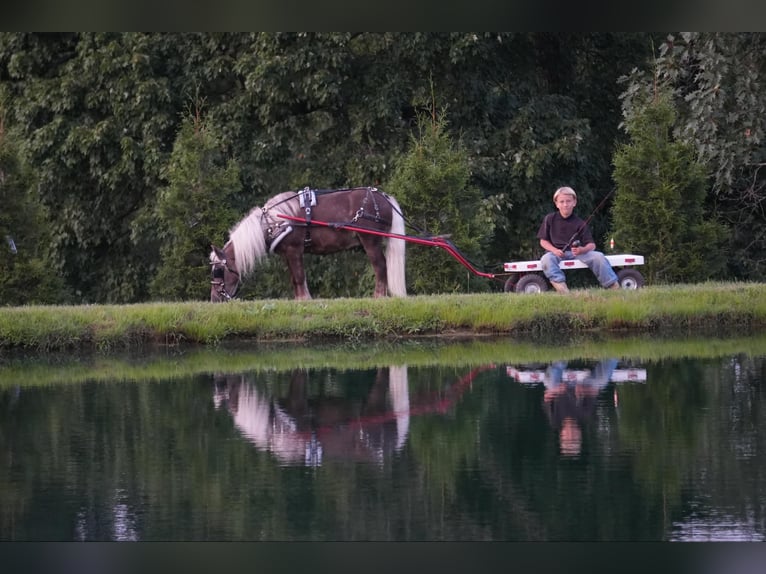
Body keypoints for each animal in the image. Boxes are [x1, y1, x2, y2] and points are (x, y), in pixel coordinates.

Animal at [210, 188, 408, 306]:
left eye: (219, 270)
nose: (214, 299)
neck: (274, 222)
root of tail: (384, 197)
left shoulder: (294, 249)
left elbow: (299, 277)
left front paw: (304, 300)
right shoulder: (288, 253)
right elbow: (295, 278)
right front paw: (300, 299)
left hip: (370, 241)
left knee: (380, 266)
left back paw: (379, 296)